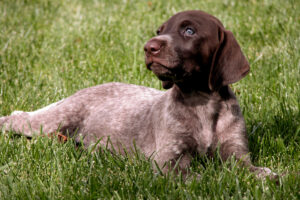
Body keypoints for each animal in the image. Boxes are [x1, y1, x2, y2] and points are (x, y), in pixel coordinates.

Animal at [0, 10, 276, 178]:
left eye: (189, 31)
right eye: (159, 31)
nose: (149, 47)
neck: (202, 104)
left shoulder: (237, 154)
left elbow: (254, 171)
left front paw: (274, 177)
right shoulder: (168, 161)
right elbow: (200, 178)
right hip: (50, 121)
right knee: (16, 117)